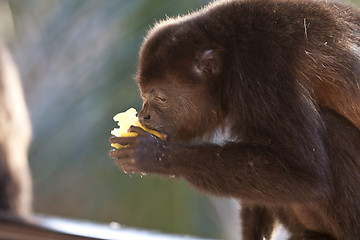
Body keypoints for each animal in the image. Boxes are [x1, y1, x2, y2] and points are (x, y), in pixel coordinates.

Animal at [110, 0, 360, 239]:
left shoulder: (264, 76)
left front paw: (153, 153)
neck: (227, 55)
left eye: (161, 98)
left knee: (332, 128)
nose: (144, 115)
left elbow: (307, 176)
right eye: (144, 95)